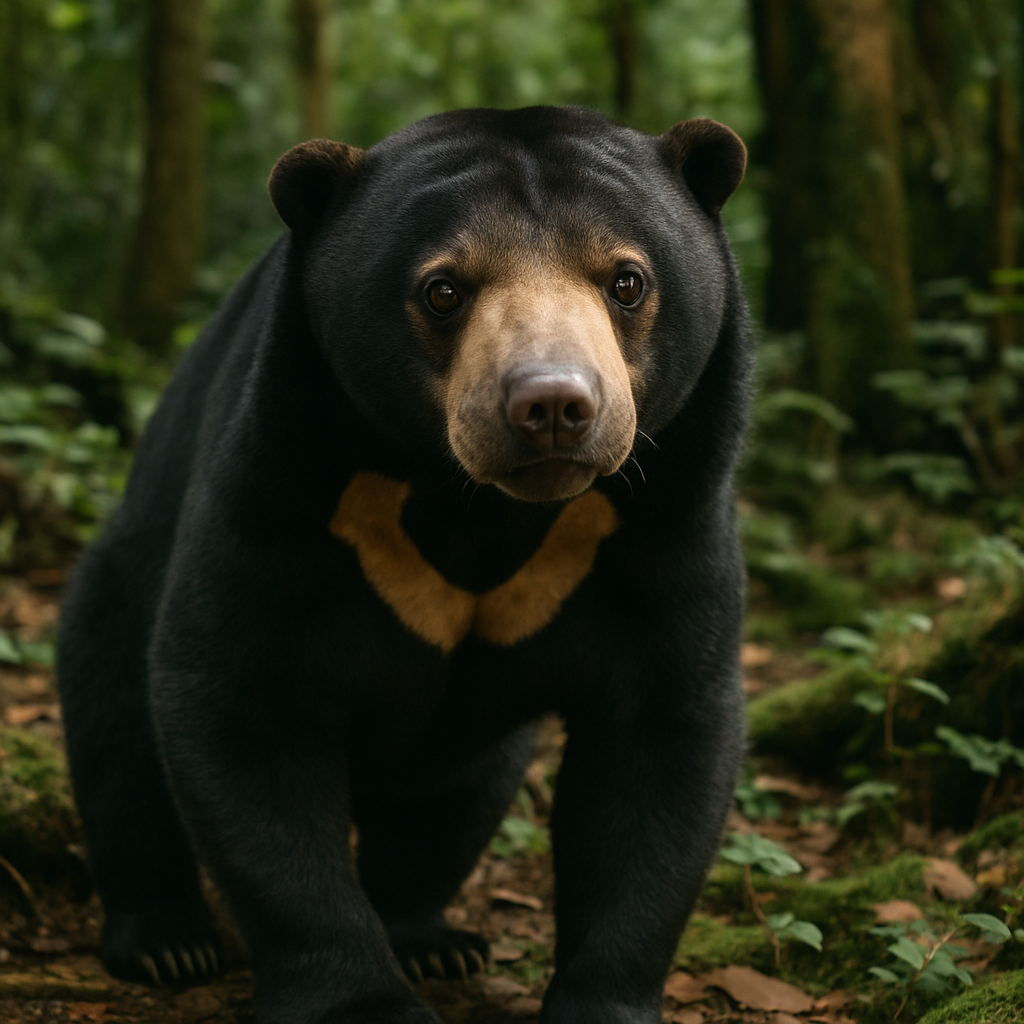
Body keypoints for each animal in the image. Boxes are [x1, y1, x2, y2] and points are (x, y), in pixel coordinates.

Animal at [57, 105, 751, 1024]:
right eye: (443, 289)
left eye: (627, 281)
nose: (553, 406)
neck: (478, 503)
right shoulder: (283, 483)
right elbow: (246, 704)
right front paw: (360, 1001)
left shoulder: (664, 522)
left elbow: (658, 737)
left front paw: (602, 1002)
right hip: (124, 571)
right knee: (117, 730)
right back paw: (168, 941)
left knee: (448, 802)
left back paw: (431, 939)